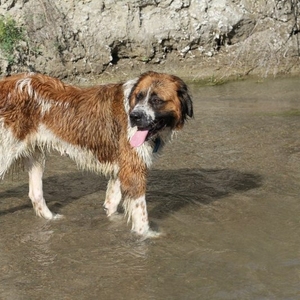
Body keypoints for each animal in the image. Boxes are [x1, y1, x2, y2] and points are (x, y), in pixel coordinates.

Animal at [0, 71, 192, 238]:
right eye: (139, 96)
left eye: (157, 100)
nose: (134, 117)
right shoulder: (133, 171)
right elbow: (141, 213)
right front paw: (147, 236)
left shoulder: (120, 169)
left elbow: (112, 202)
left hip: (36, 156)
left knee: (36, 194)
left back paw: (52, 218)